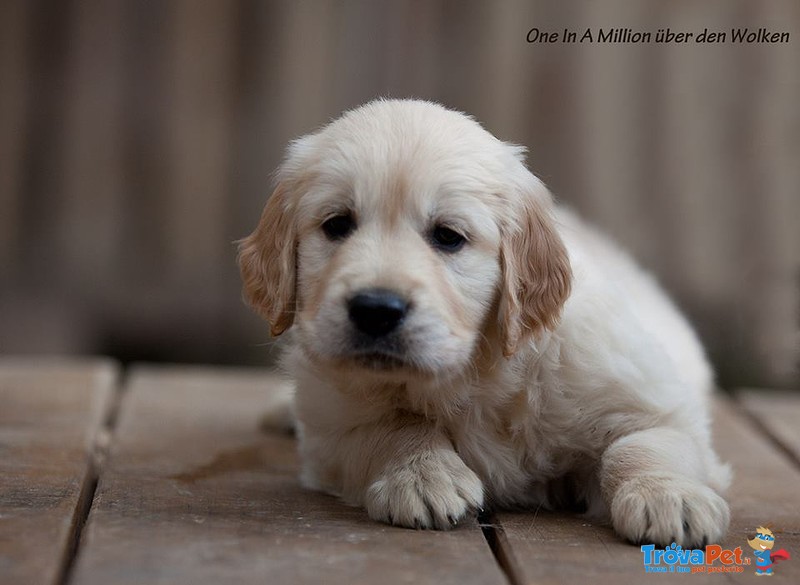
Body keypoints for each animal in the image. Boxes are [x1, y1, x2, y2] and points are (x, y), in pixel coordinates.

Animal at [238, 98, 732, 544]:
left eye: (448, 236)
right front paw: (422, 476)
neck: (475, 373)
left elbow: (645, 443)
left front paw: (668, 497)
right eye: (337, 225)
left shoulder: (653, 397)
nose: (375, 309)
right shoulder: (331, 421)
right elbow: (388, 426)